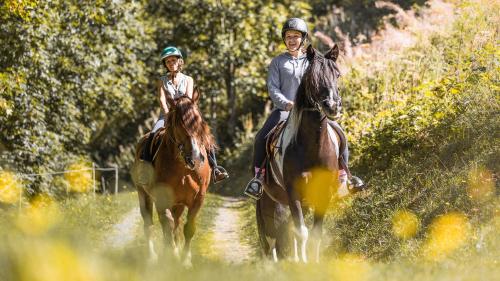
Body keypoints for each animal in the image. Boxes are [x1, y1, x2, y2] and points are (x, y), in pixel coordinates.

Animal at [131, 88, 215, 266]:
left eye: (199, 121)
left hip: (178, 204)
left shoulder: (198, 199)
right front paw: (173, 256)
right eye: (179, 123)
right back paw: (153, 257)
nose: (196, 158)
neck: (182, 168)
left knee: (175, 224)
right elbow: (167, 226)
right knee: (149, 224)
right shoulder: (162, 199)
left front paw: (185, 261)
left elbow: (188, 228)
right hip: (144, 194)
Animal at [256, 44, 342, 262]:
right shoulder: (293, 190)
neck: (313, 146)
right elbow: (301, 231)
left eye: (337, 74)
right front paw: (303, 263)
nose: (333, 106)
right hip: (270, 202)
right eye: (313, 77)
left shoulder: (322, 192)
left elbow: (314, 233)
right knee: (272, 238)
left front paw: (312, 262)